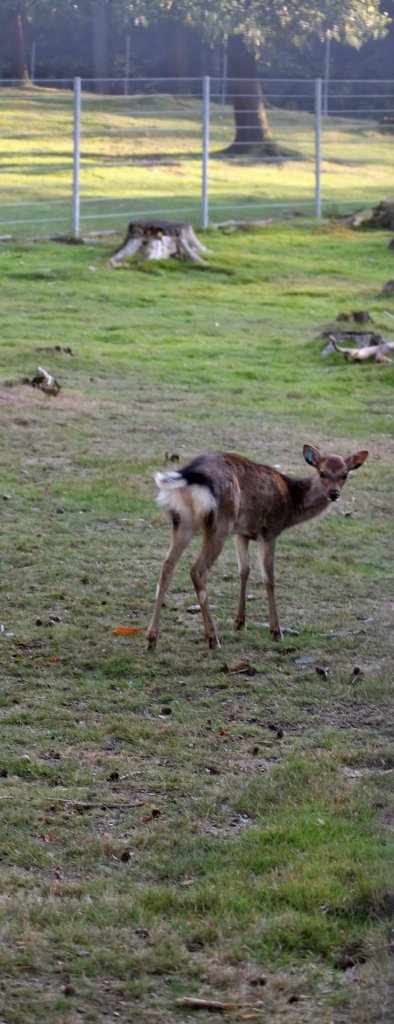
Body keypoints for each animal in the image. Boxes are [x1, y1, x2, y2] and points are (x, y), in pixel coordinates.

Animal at [145, 444, 368, 651]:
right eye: (322, 472)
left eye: (345, 474)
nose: (334, 493)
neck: (291, 504)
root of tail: (189, 476)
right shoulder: (269, 531)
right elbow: (269, 579)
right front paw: (276, 631)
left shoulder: (242, 532)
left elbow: (244, 570)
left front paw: (240, 622)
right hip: (221, 523)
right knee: (197, 570)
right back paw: (213, 638)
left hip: (183, 521)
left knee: (167, 567)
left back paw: (151, 638)